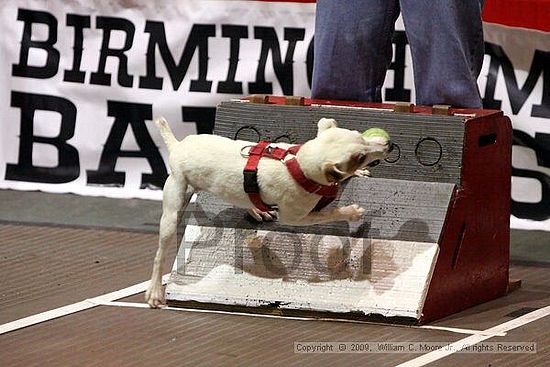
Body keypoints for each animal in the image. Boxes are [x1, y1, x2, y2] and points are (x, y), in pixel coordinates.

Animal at [147, 117, 392, 308]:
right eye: (359, 157)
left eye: (361, 136)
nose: (388, 144)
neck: (298, 166)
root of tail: (177, 146)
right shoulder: (296, 217)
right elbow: (330, 213)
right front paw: (352, 212)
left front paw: (357, 175)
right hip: (173, 210)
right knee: (159, 255)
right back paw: (155, 291)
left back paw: (256, 208)